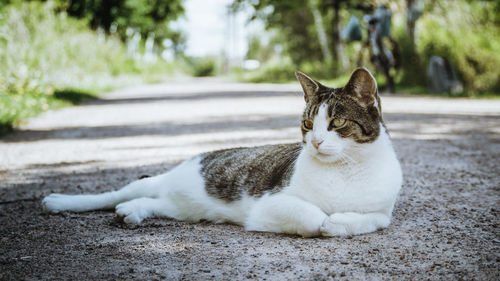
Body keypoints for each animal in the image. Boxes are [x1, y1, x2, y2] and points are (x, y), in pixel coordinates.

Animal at [42, 68, 402, 236]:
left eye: (337, 121)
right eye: (308, 123)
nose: (314, 142)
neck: (346, 169)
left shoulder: (383, 212)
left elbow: (373, 220)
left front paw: (342, 222)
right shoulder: (271, 204)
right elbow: (315, 217)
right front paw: (328, 221)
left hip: (183, 208)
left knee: (152, 203)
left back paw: (131, 211)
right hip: (161, 180)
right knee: (116, 193)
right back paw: (60, 201)